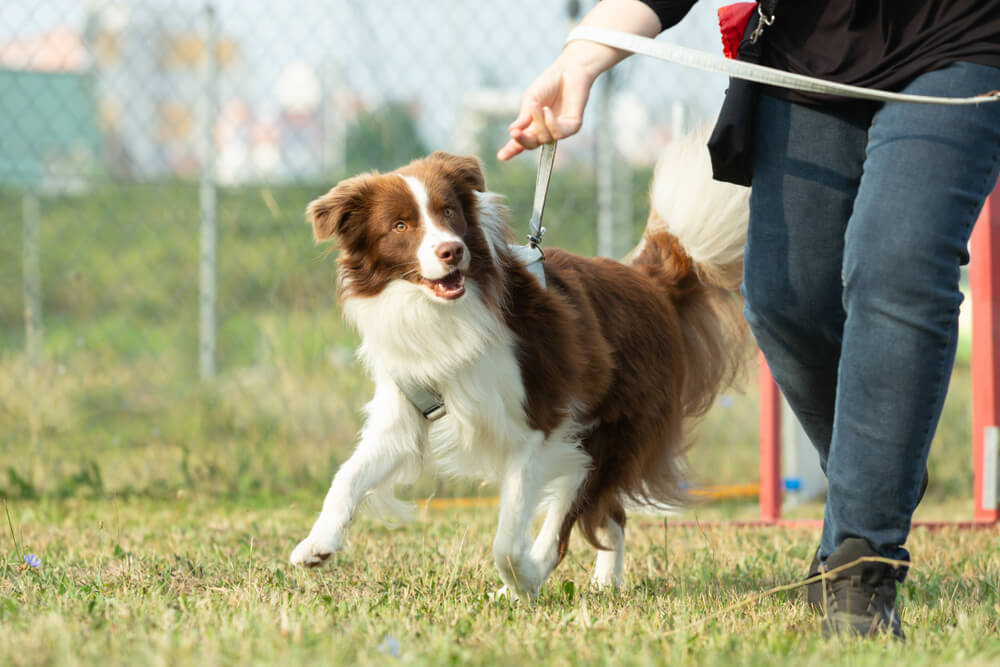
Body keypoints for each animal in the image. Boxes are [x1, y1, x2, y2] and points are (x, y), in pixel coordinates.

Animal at [290, 134, 752, 600]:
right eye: (400, 226)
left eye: (449, 212)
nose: (452, 250)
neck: (445, 312)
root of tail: (650, 281)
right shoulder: (406, 410)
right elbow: (349, 474)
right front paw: (318, 542)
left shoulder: (540, 425)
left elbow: (508, 540)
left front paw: (524, 578)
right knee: (610, 515)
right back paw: (604, 583)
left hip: (606, 432)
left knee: (574, 517)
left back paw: (534, 579)